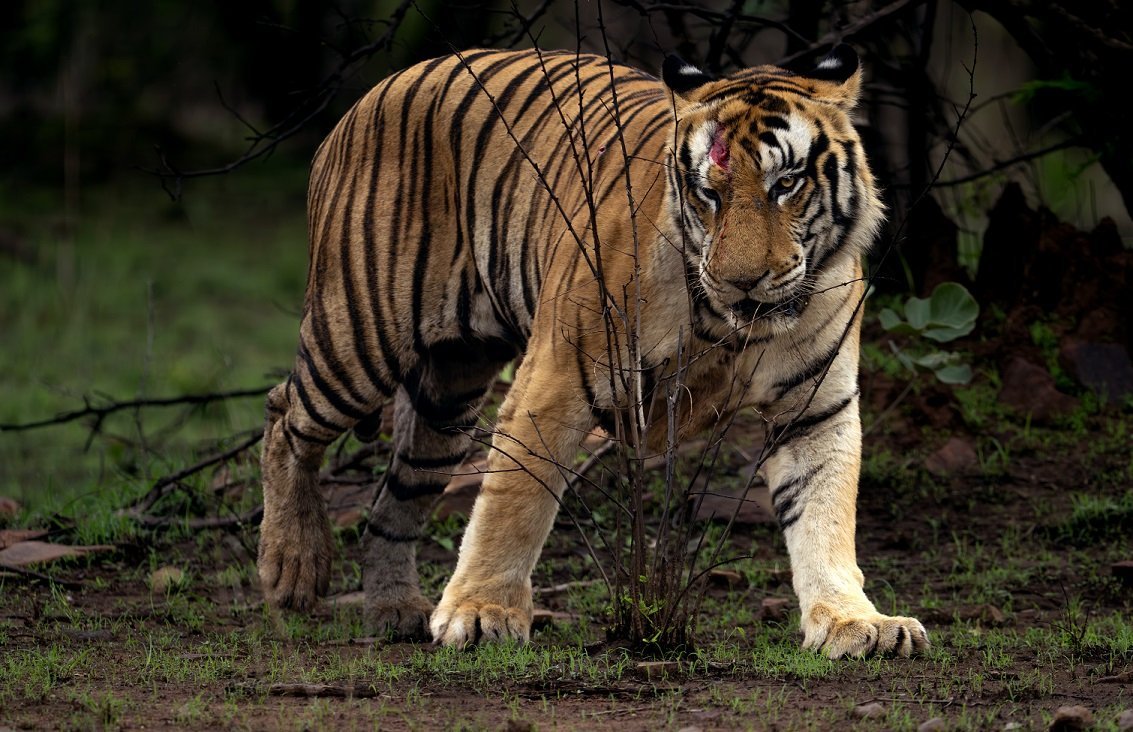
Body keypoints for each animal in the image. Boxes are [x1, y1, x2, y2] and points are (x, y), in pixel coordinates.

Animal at [256, 45, 929, 658]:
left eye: (785, 184)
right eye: (708, 194)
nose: (741, 281)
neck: (729, 327)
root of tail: (382, 86)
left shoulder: (816, 408)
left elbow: (824, 514)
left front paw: (853, 622)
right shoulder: (555, 378)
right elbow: (513, 502)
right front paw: (481, 613)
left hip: (448, 392)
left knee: (393, 501)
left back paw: (395, 608)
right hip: (360, 333)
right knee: (284, 413)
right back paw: (292, 567)